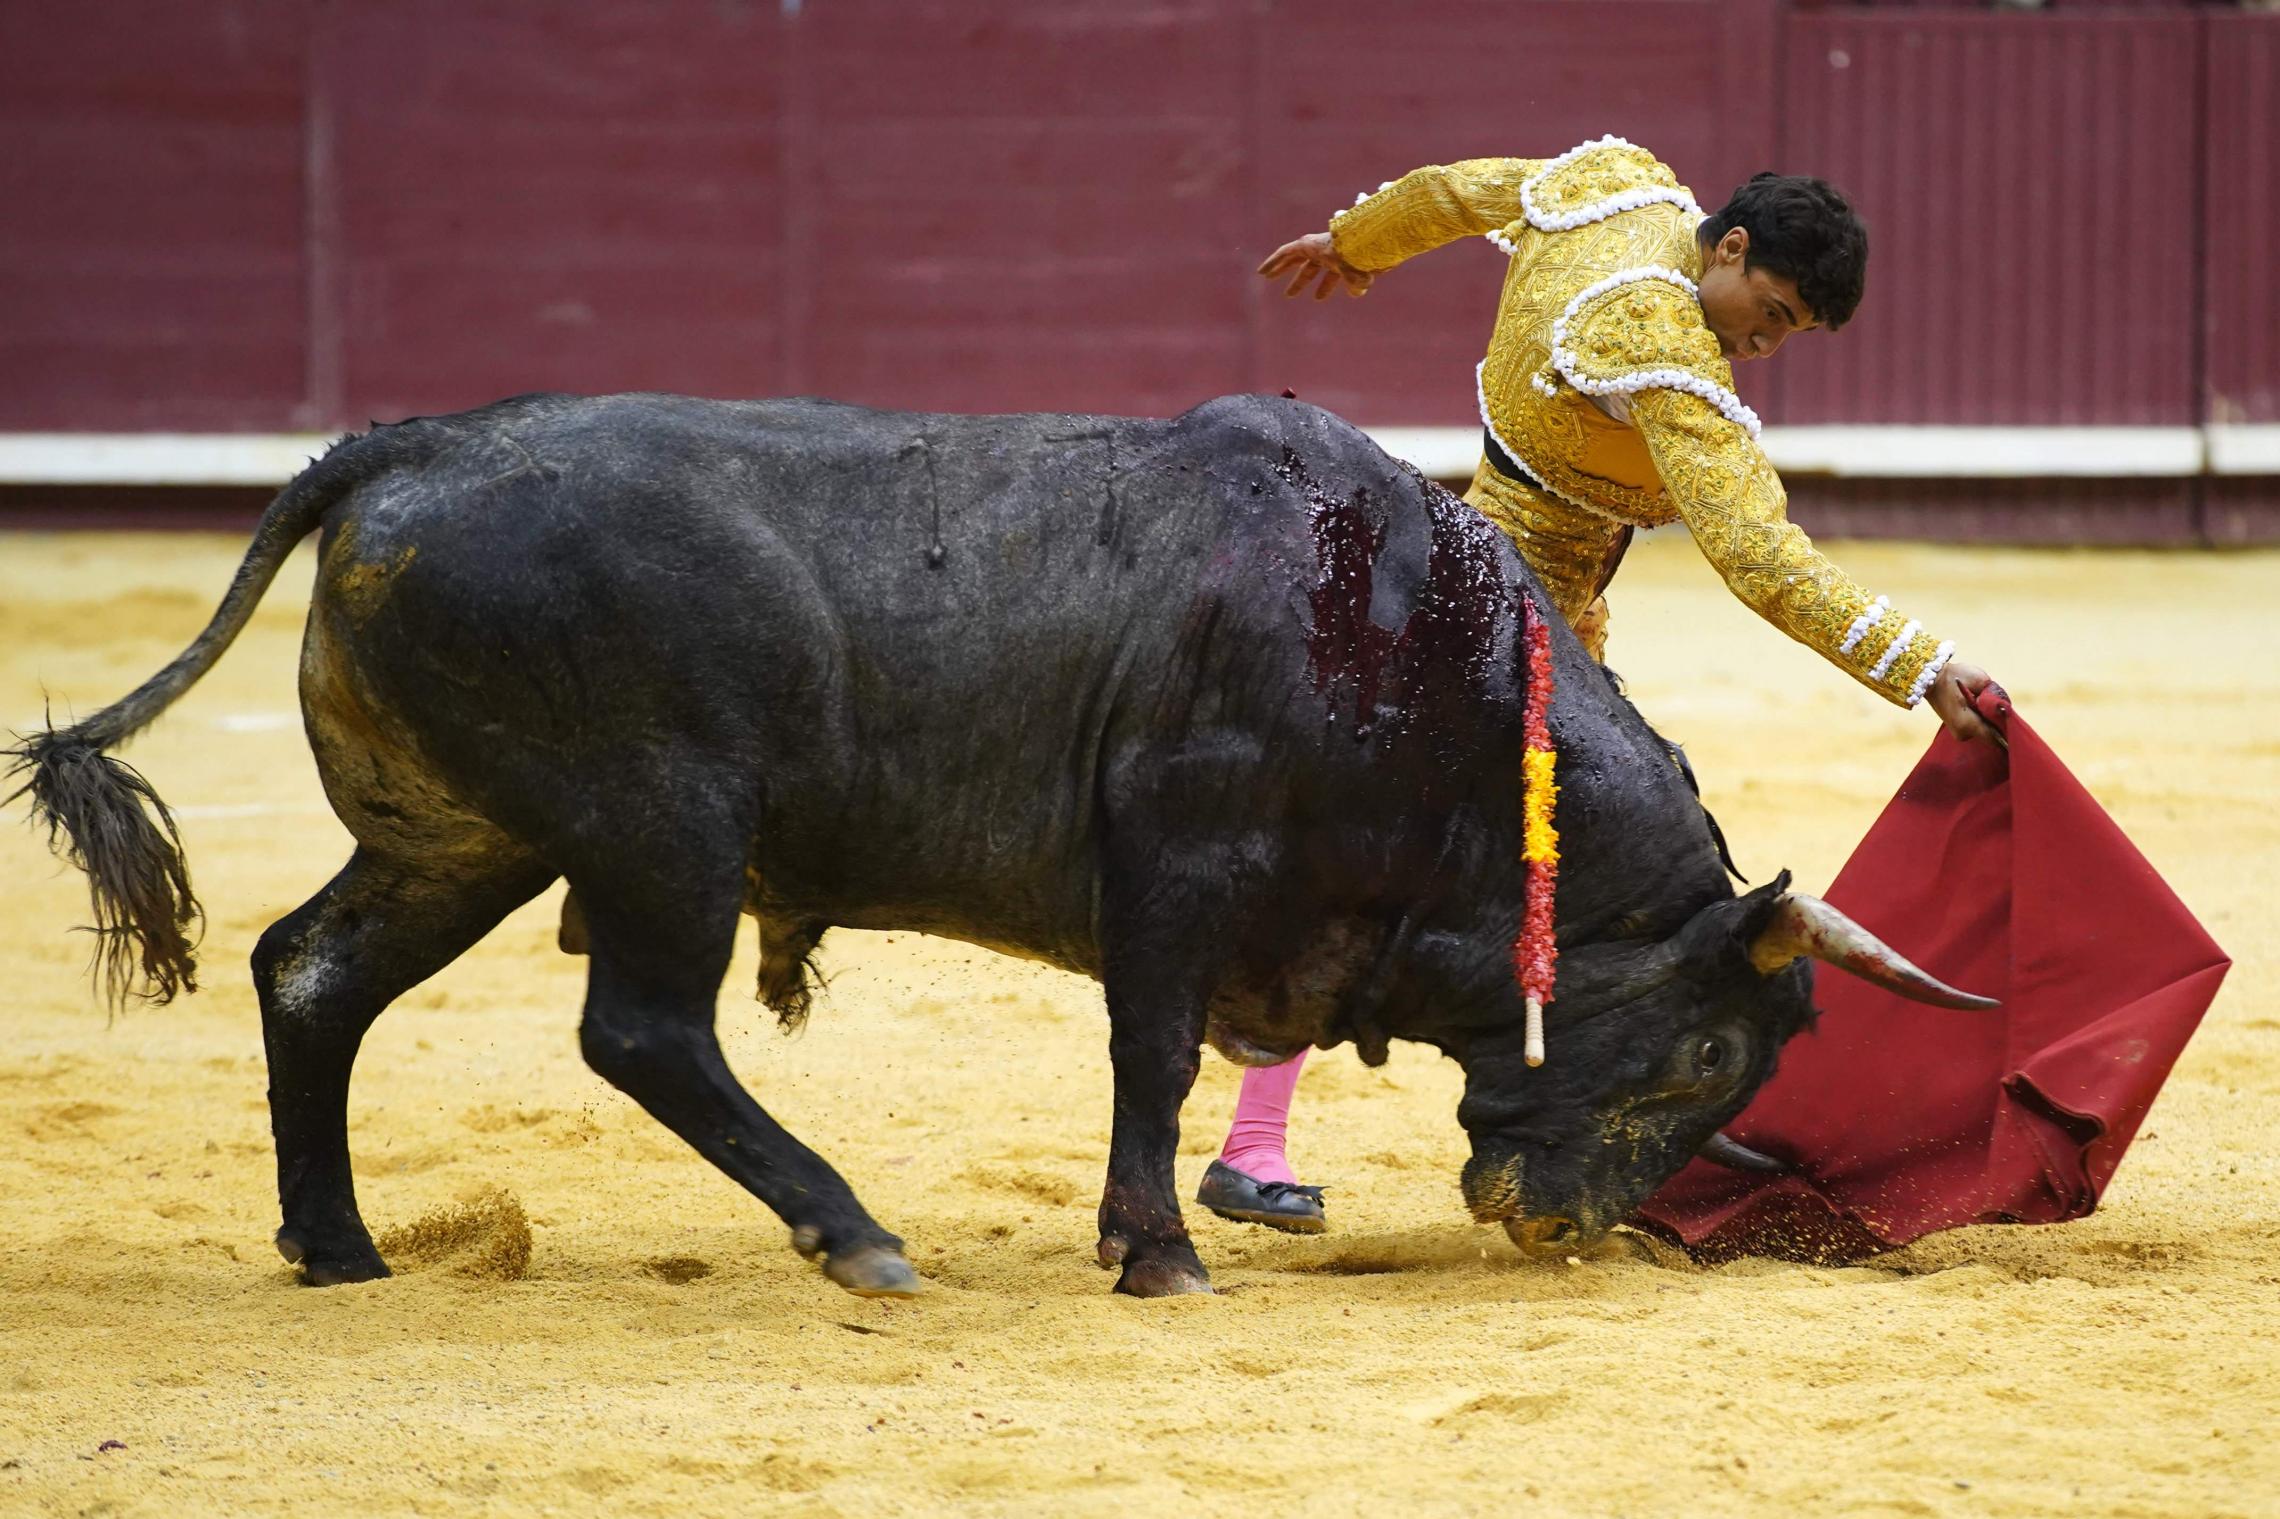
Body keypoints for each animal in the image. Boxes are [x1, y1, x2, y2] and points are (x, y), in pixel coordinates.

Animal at [8, 387, 1988, 1286]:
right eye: (1717, 1048)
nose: (1564, 1225)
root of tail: (398, 449)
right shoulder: (1177, 871)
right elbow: (1155, 1056)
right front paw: (1161, 1250)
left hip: (464, 838)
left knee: (310, 971)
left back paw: (340, 1244)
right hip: (659, 830)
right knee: (642, 1028)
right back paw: (854, 1230)